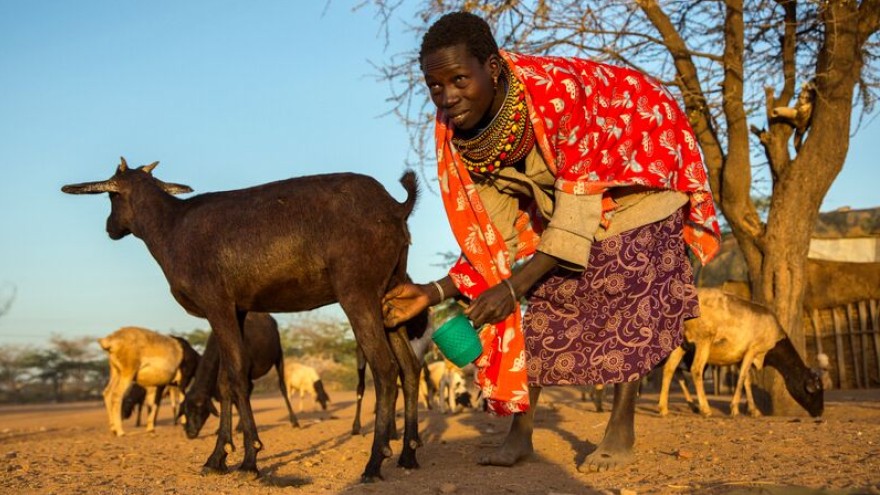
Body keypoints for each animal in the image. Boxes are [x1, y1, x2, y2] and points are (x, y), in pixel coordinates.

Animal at [62, 158, 422, 480]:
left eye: (111, 197)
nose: (110, 229)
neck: (171, 228)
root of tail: (395, 207)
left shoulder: (217, 304)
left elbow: (235, 377)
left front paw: (249, 460)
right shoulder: (237, 309)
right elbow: (224, 382)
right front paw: (217, 458)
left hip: (358, 291)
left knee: (385, 369)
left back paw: (375, 462)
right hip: (390, 293)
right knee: (409, 366)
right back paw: (408, 453)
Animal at [660, 288, 824, 420]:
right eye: (816, 391)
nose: (820, 412)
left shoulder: (742, 358)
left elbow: (747, 381)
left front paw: (754, 411)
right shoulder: (752, 350)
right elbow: (742, 378)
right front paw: (735, 409)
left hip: (681, 344)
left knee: (669, 368)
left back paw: (663, 408)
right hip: (704, 340)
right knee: (696, 369)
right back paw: (705, 409)